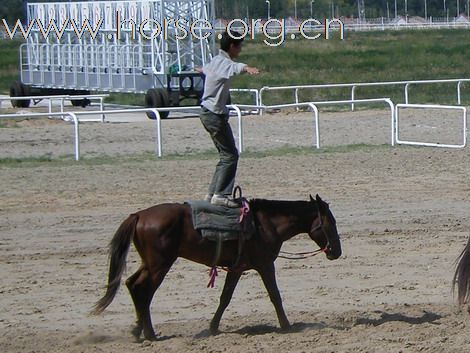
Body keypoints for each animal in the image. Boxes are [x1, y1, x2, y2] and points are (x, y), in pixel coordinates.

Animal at [92, 194, 342, 340]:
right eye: (330, 221)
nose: (337, 251)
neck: (265, 224)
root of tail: (139, 215)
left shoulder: (238, 268)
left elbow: (225, 297)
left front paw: (213, 327)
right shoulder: (265, 265)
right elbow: (275, 295)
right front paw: (287, 326)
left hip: (150, 263)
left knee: (131, 284)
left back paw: (138, 331)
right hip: (159, 265)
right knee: (143, 290)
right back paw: (150, 333)